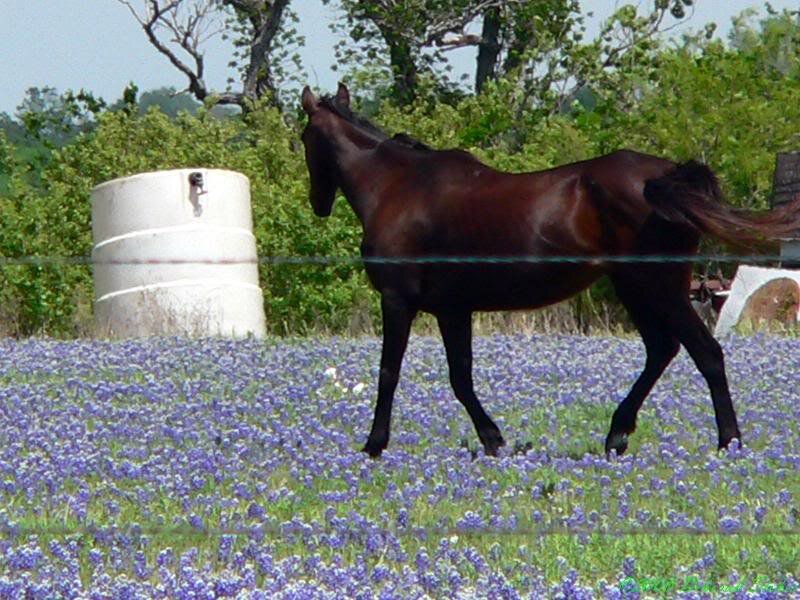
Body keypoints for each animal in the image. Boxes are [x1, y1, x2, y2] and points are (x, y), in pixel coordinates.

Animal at [300, 82, 800, 459]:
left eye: (304, 139)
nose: (317, 204)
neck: (399, 188)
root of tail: (665, 178)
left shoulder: (398, 300)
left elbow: (390, 372)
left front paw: (374, 445)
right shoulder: (452, 309)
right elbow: (461, 376)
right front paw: (493, 440)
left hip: (656, 287)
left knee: (705, 352)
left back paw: (727, 442)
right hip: (638, 286)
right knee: (662, 350)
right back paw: (617, 434)